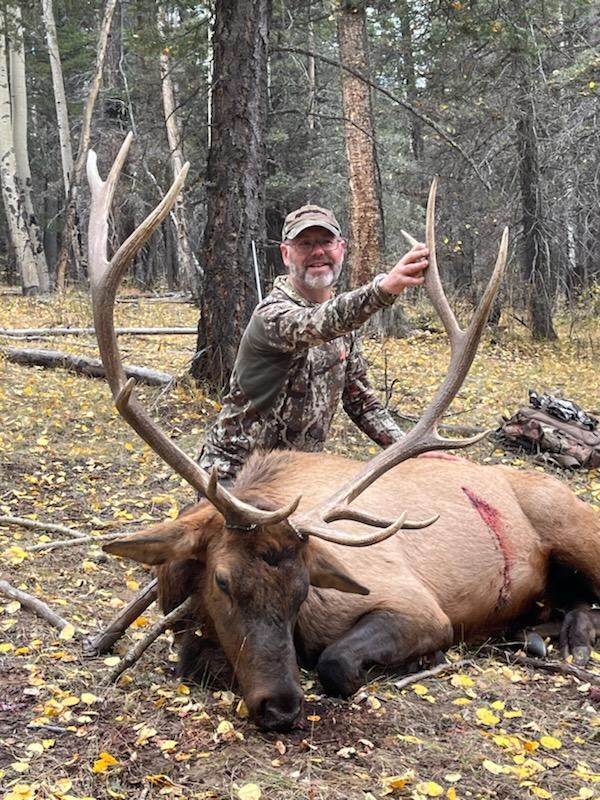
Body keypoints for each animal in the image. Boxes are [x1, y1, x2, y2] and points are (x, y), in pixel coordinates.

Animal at [88, 136, 600, 732]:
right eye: (222, 581)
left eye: (303, 589)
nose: (280, 706)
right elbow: (192, 657)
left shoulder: (418, 605)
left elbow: (335, 662)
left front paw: (418, 660)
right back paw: (540, 636)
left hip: (573, 525)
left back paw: (569, 639)